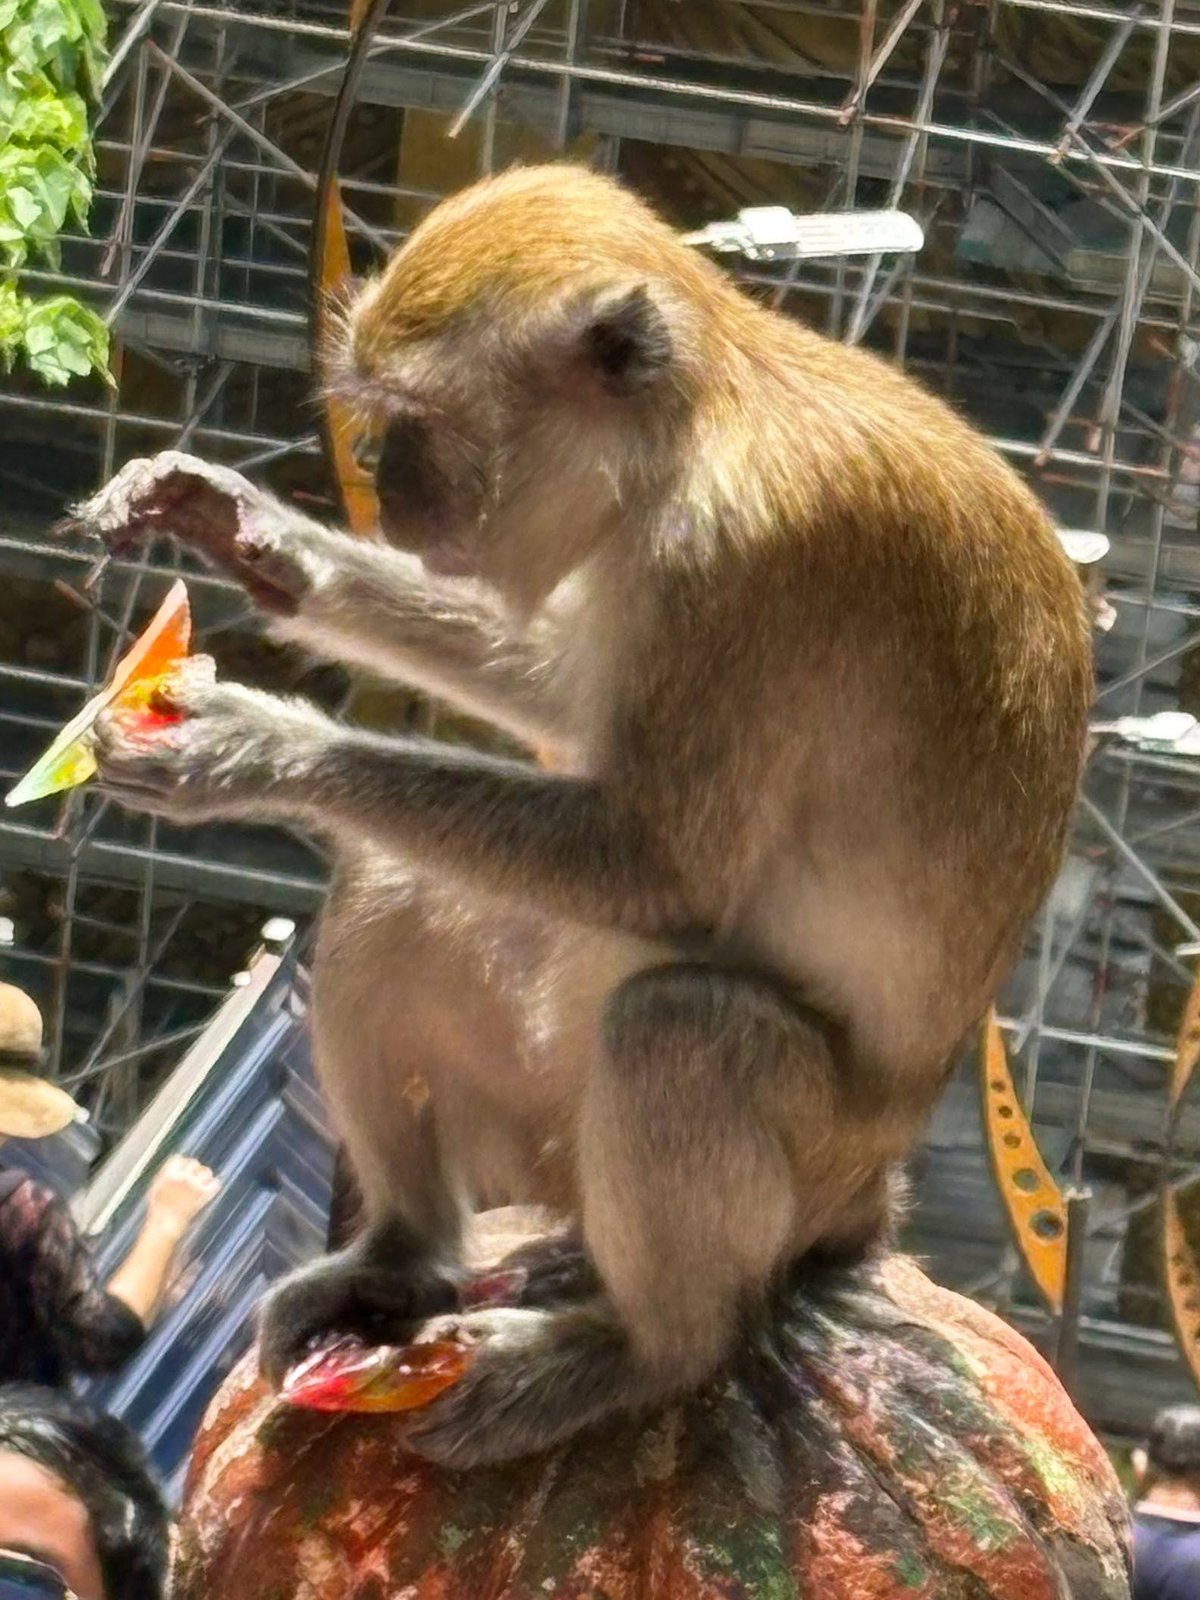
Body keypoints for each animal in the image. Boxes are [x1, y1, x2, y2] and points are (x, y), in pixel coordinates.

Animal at [73, 162, 1093, 1469]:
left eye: (423, 417)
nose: (387, 479)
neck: (697, 424)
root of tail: (874, 1193)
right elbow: (564, 687)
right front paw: (257, 538)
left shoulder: (738, 563)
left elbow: (666, 866)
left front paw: (260, 745)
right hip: (546, 1132)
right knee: (397, 885)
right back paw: (402, 1258)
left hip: (807, 1176)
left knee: (680, 1028)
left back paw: (647, 1352)